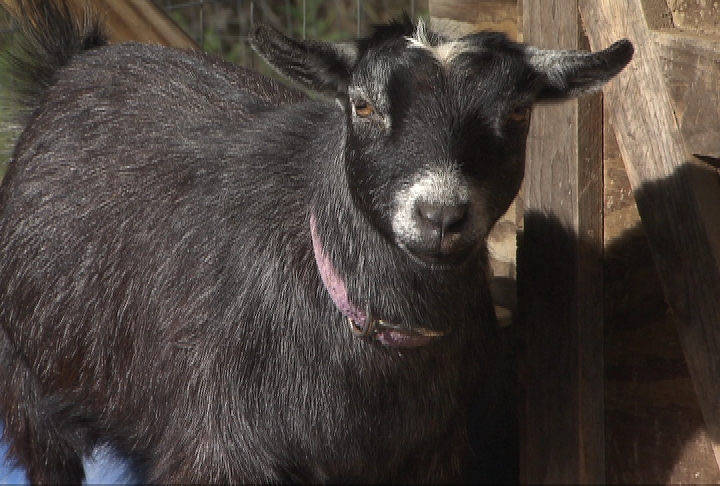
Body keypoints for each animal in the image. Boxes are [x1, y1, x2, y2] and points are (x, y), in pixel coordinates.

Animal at [0, 0, 633, 483]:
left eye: (520, 112)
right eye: (363, 104)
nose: (440, 215)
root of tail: (75, 62)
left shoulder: (431, 451)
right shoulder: (217, 447)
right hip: (27, 386)